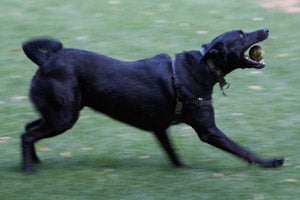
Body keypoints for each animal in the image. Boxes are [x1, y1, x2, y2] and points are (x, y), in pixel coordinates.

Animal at [20, 28, 284, 172]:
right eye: (241, 34)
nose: (266, 29)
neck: (203, 67)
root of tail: (46, 61)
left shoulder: (160, 128)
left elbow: (173, 154)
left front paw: (185, 169)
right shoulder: (208, 130)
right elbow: (242, 150)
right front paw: (270, 162)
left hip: (57, 112)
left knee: (28, 127)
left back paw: (35, 160)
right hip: (64, 117)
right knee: (28, 135)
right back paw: (28, 169)